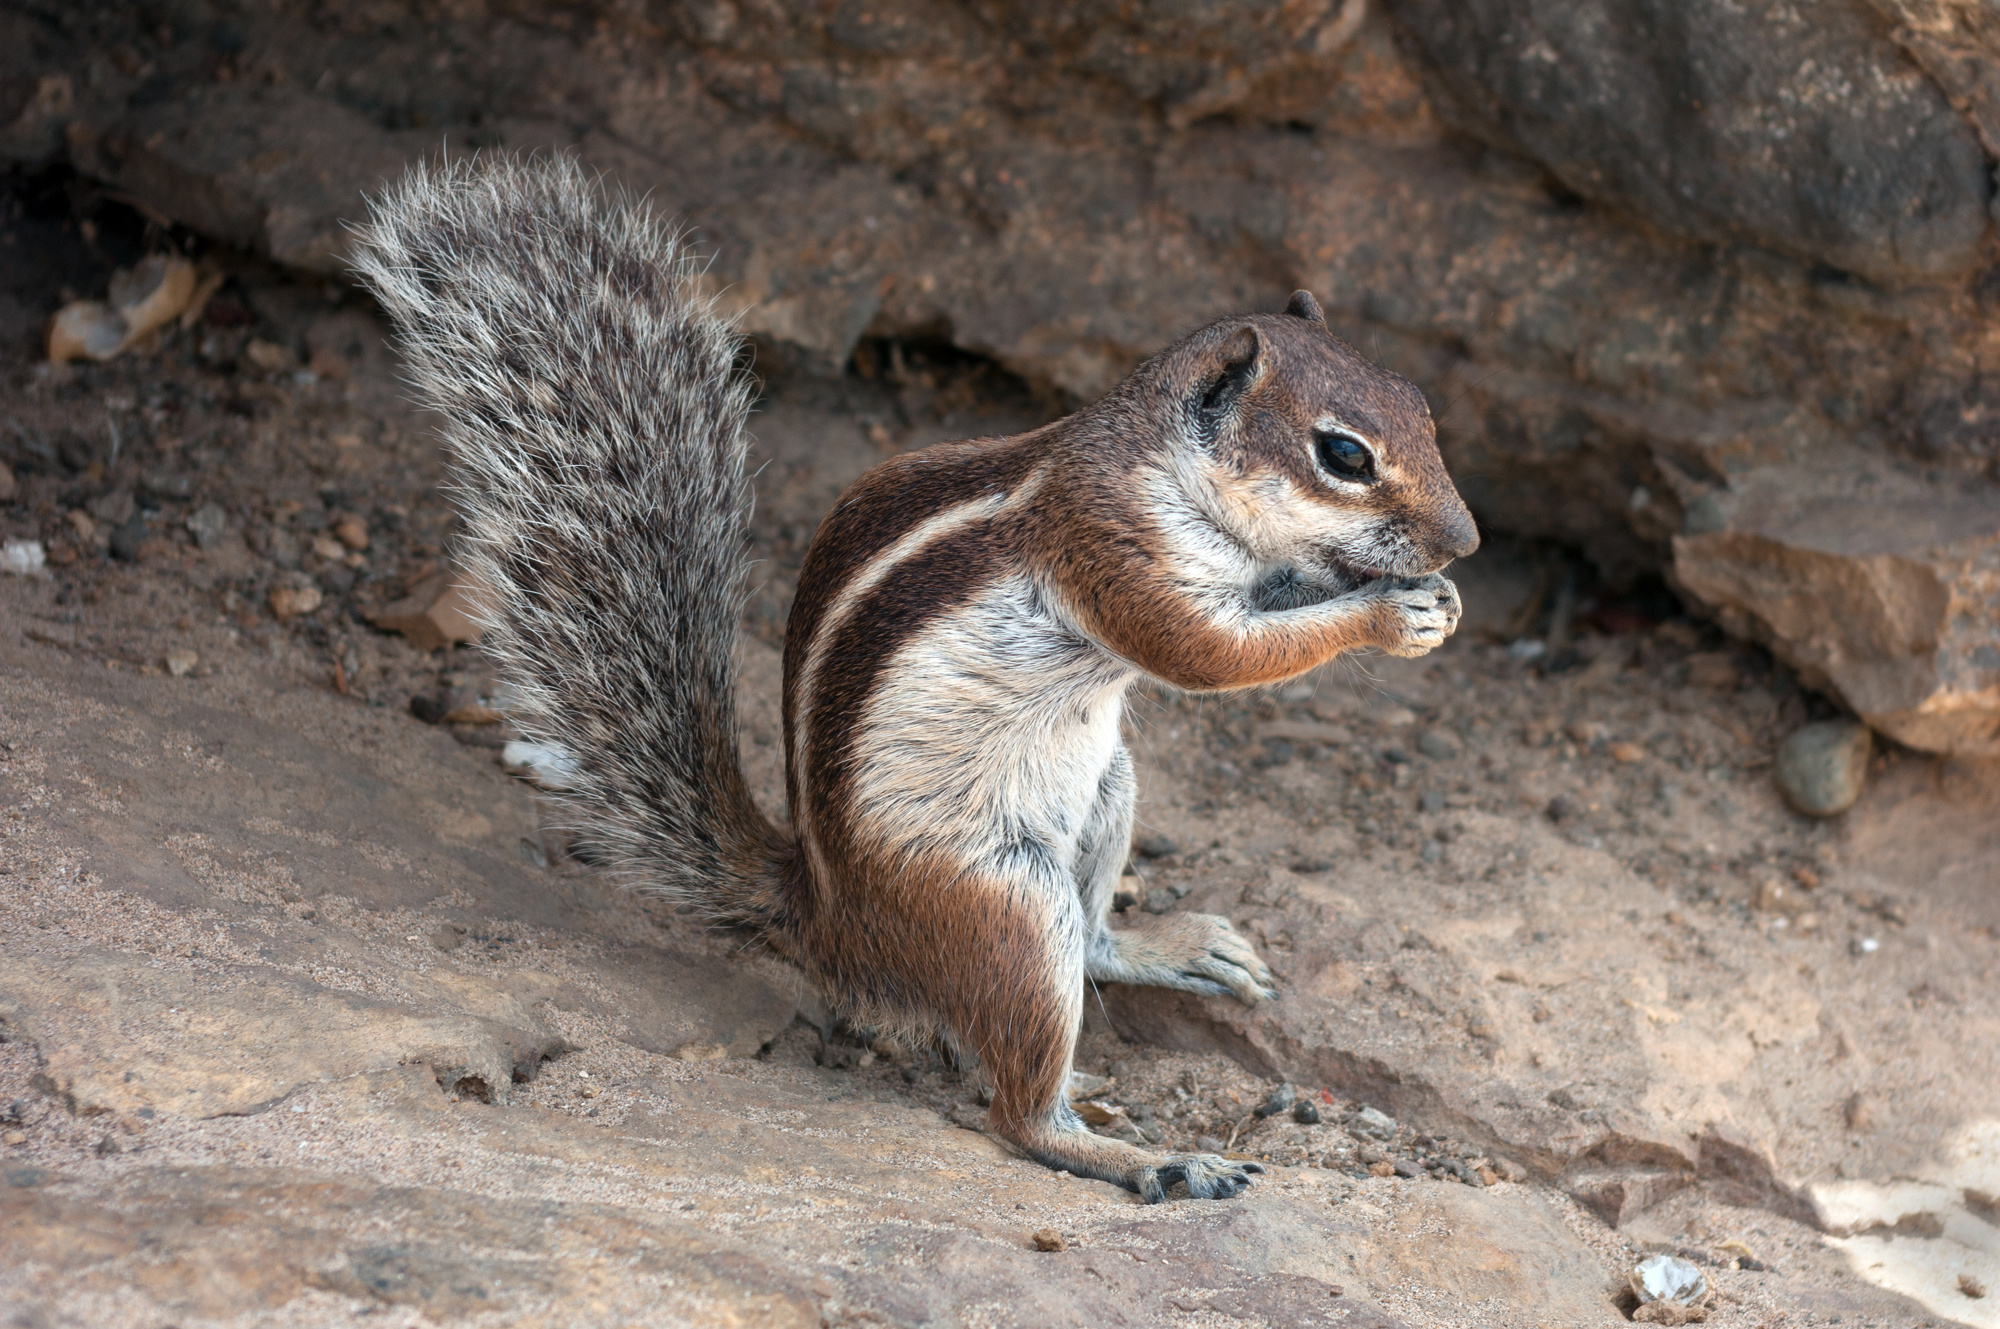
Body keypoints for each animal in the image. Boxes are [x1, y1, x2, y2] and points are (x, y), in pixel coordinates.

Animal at [356, 156, 1488, 1200]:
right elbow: (1206, 654)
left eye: (1424, 409)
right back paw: (1148, 1159)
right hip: (1001, 903)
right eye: (1342, 454)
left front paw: (1417, 594)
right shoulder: (1111, 550)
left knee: (1094, 944)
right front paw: (1392, 612)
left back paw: (1171, 949)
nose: (1467, 543)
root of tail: (826, 922)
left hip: (1106, 790)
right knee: (1019, 1107)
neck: (1160, 463)